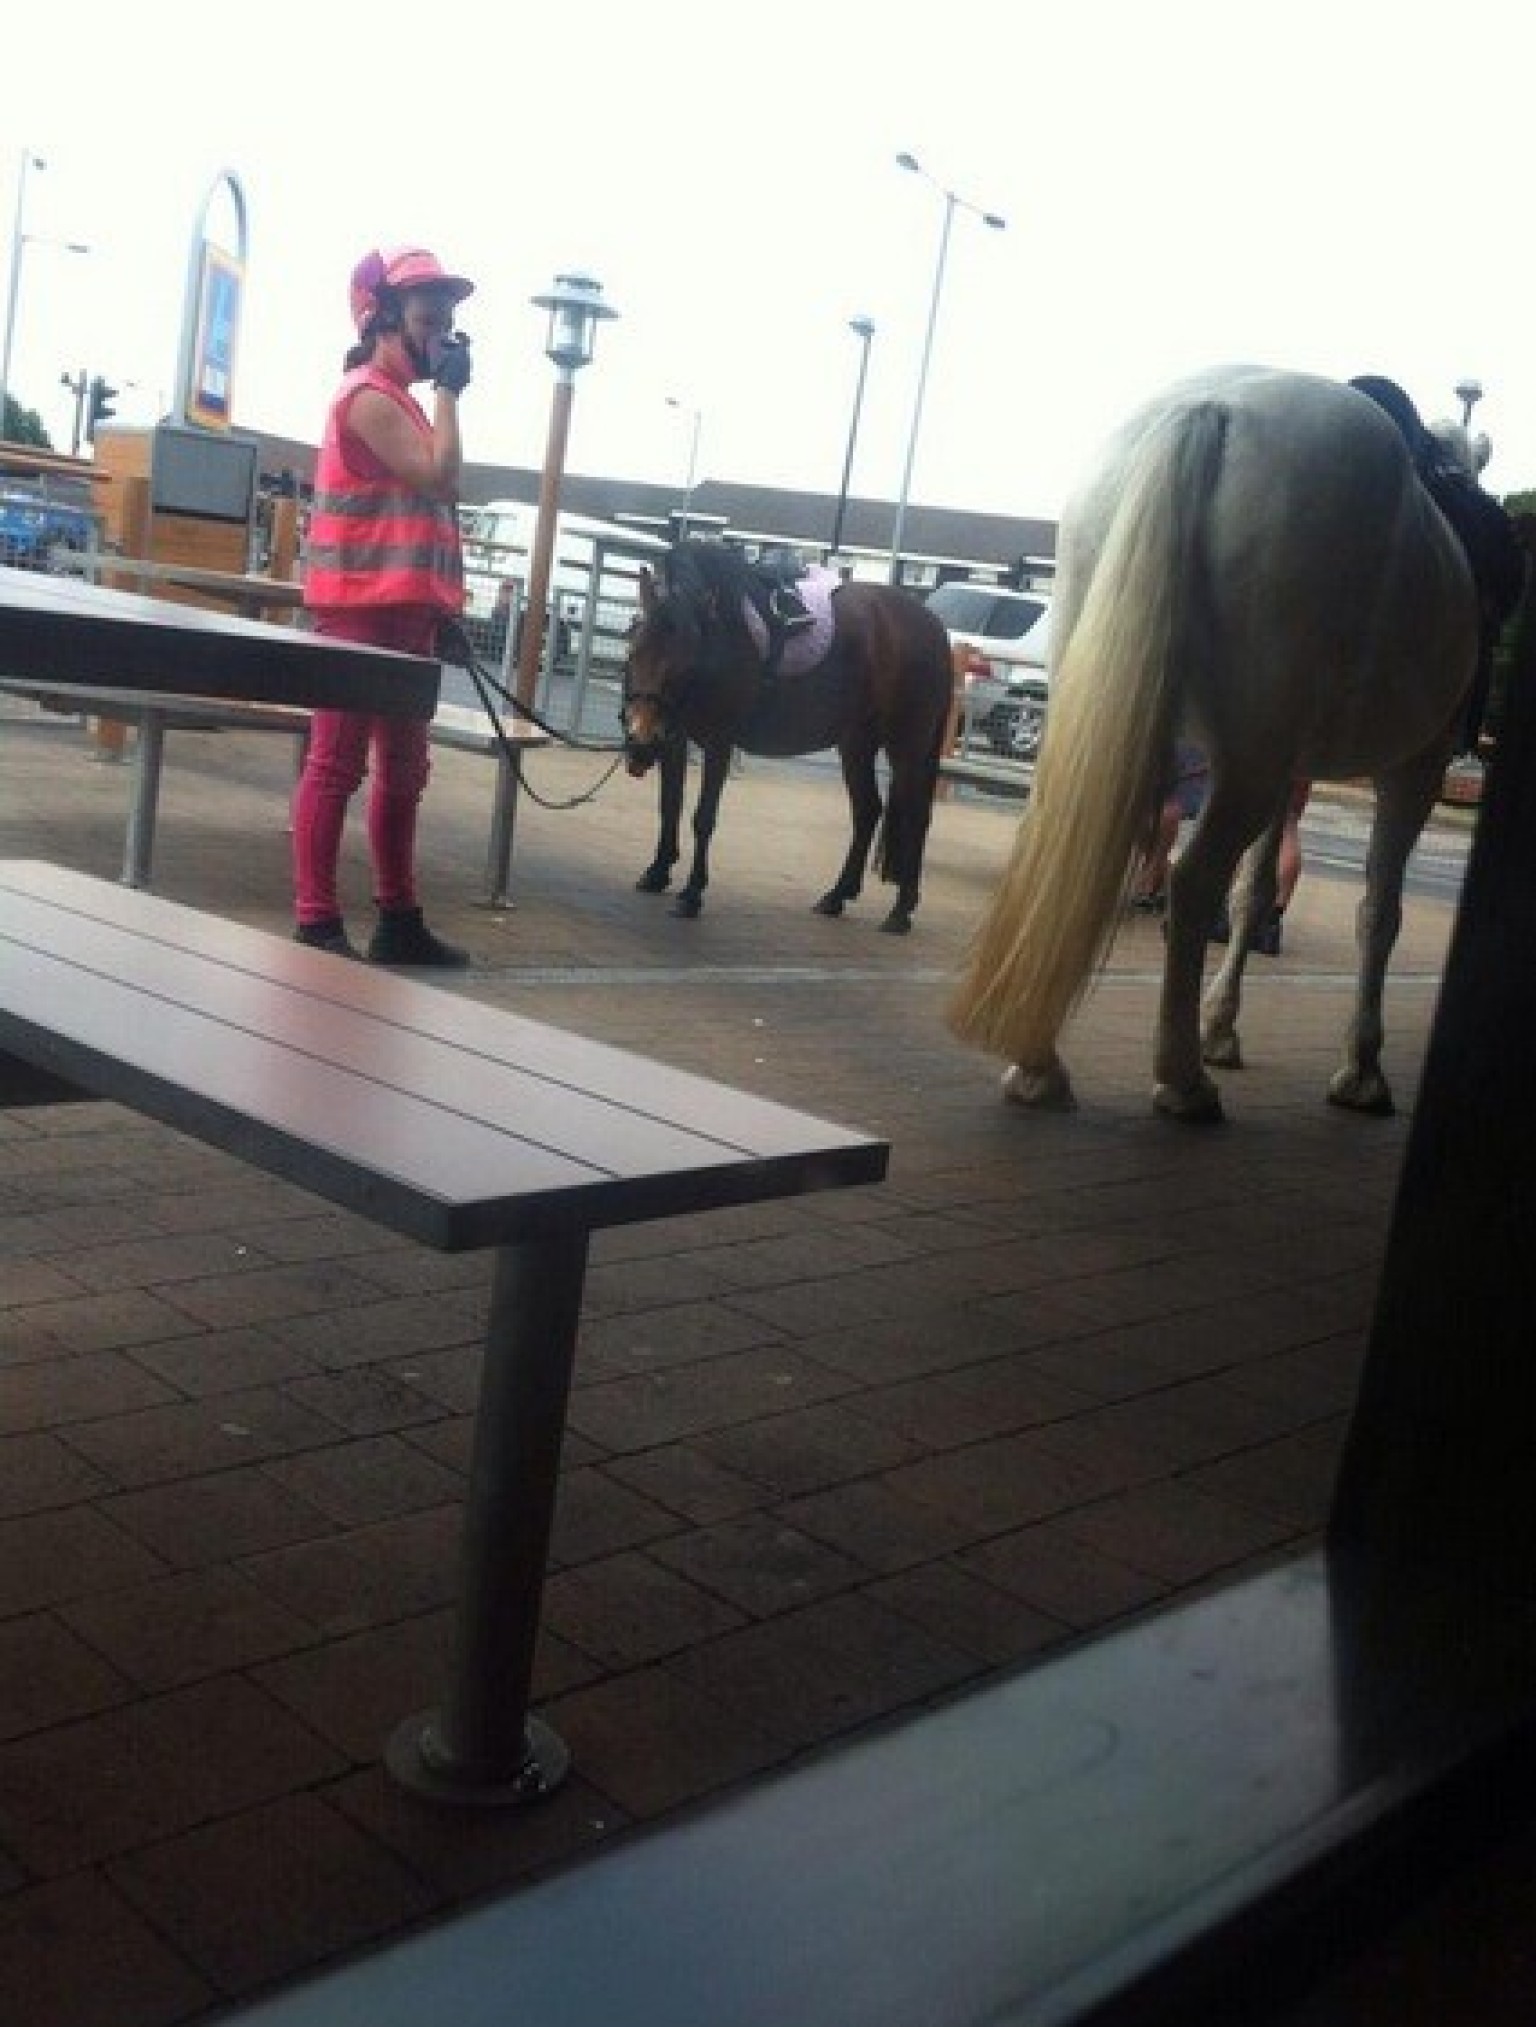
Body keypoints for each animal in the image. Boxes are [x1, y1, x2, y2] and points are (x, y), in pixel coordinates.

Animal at [620, 539, 956, 932]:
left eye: (685, 664)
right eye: (633, 649)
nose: (640, 741)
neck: (723, 633)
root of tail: (934, 627)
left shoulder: (719, 742)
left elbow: (703, 818)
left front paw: (691, 894)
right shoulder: (674, 737)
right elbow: (670, 805)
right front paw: (658, 872)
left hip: (907, 745)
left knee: (916, 815)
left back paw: (900, 911)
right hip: (856, 743)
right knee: (867, 810)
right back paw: (837, 896)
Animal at [952, 366, 1483, 1127]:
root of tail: (1207, 409)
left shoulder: (1293, 768)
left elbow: (1255, 892)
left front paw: (1222, 1028)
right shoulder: (1413, 769)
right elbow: (1379, 912)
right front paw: (1361, 1069)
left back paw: (1042, 1064)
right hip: (1249, 763)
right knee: (1193, 878)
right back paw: (1182, 1080)